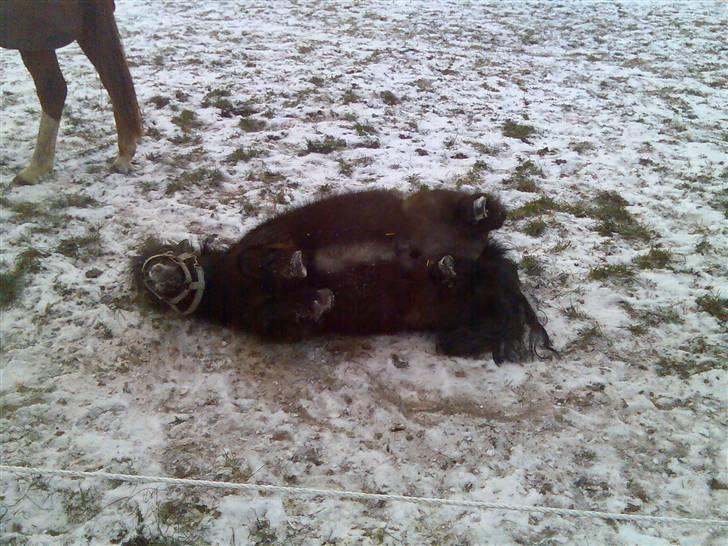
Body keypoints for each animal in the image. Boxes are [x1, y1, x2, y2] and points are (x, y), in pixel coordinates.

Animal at [135, 189, 556, 364]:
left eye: (164, 255)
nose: (154, 276)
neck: (230, 291)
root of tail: (484, 260)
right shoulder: (270, 322)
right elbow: (290, 314)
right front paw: (316, 300)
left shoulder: (267, 241)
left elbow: (257, 261)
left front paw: (292, 268)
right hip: (451, 303)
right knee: (454, 278)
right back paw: (446, 268)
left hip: (435, 204)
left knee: (485, 215)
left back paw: (477, 210)